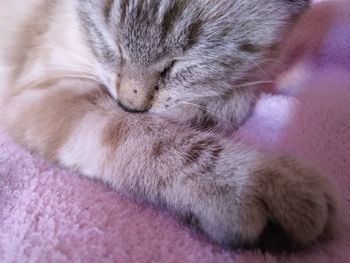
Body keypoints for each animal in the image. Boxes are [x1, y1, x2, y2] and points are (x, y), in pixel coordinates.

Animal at [0, 0, 338, 252]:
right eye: (112, 42)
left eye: (180, 63)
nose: (130, 103)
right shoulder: (39, 94)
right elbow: (150, 138)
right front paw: (259, 182)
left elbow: (241, 88)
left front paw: (207, 105)